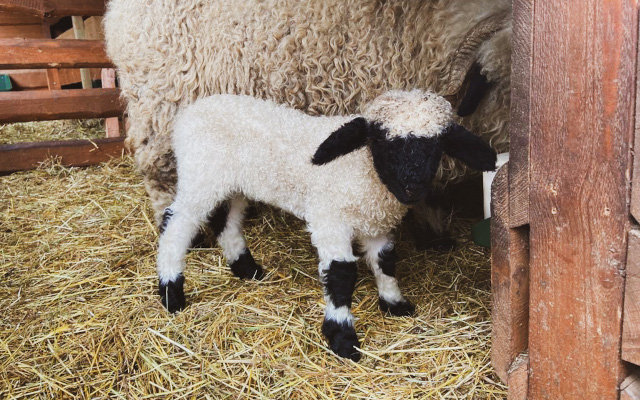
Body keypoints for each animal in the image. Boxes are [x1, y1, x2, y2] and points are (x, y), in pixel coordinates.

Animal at [158, 90, 498, 360]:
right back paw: (171, 292)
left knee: (227, 223)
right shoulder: (330, 220)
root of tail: (190, 112)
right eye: (382, 142)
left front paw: (394, 303)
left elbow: (385, 262)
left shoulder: (376, 225)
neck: (363, 168)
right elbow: (341, 274)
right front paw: (342, 337)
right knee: (175, 225)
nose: (412, 187)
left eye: (437, 145)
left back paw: (246, 269)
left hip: (231, 184)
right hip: (201, 175)